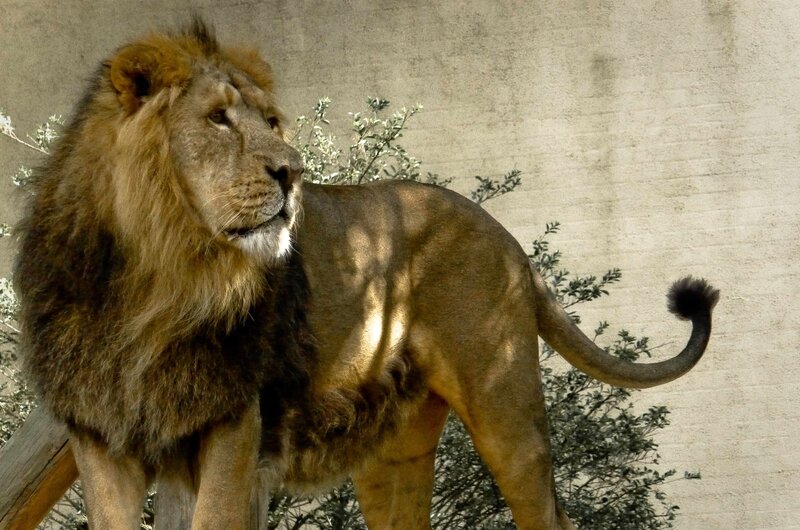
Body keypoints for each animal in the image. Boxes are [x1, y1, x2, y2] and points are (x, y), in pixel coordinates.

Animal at [15, 20, 718, 530]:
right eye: (217, 118)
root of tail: (505, 234)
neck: (150, 281)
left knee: (550, 515)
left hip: (507, 411)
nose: (292, 171)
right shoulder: (99, 435)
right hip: (391, 449)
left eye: (271, 121)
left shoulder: (232, 422)